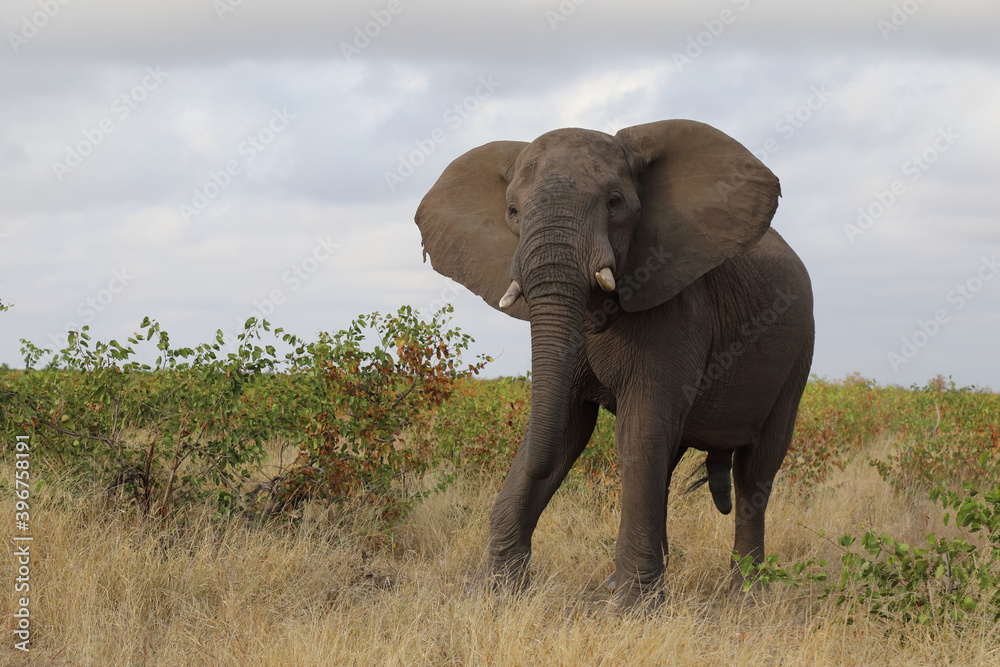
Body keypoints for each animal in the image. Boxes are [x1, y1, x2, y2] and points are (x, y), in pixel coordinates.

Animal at [414, 120, 812, 612]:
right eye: (512, 210)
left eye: (615, 202)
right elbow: (567, 427)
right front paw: (493, 592)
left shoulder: (677, 309)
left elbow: (637, 430)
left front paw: (633, 611)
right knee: (669, 462)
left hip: (798, 352)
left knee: (755, 470)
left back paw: (746, 599)